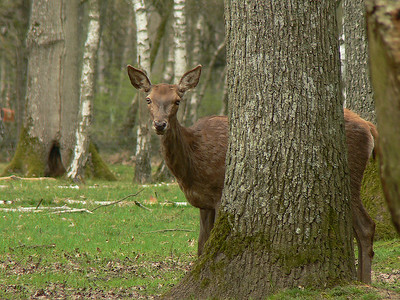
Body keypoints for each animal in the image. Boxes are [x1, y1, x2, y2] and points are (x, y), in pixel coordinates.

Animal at [127, 65, 376, 284]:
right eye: (148, 99)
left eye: (177, 101)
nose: (160, 124)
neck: (191, 168)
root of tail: (369, 126)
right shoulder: (202, 203)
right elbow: (201, 246)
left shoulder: (220, 193)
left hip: (351, 175)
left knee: (366, 227)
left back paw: (365, 283)